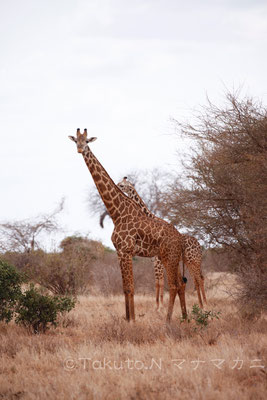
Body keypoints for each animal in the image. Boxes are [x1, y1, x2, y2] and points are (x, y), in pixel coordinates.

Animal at [68, 129, 188, 322]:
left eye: (86, 141)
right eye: (75, 141)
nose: (80, 149)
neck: (117, 213)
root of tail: (181, 239)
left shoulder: (126, 251)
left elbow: (130, 287)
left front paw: (132, 320)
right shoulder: (120, 251)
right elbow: (126, 288)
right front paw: (128, 318)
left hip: (168, 257)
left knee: (175, 285)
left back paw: (169, 320)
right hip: (171, 258)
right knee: (179, 284)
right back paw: (184, 317)